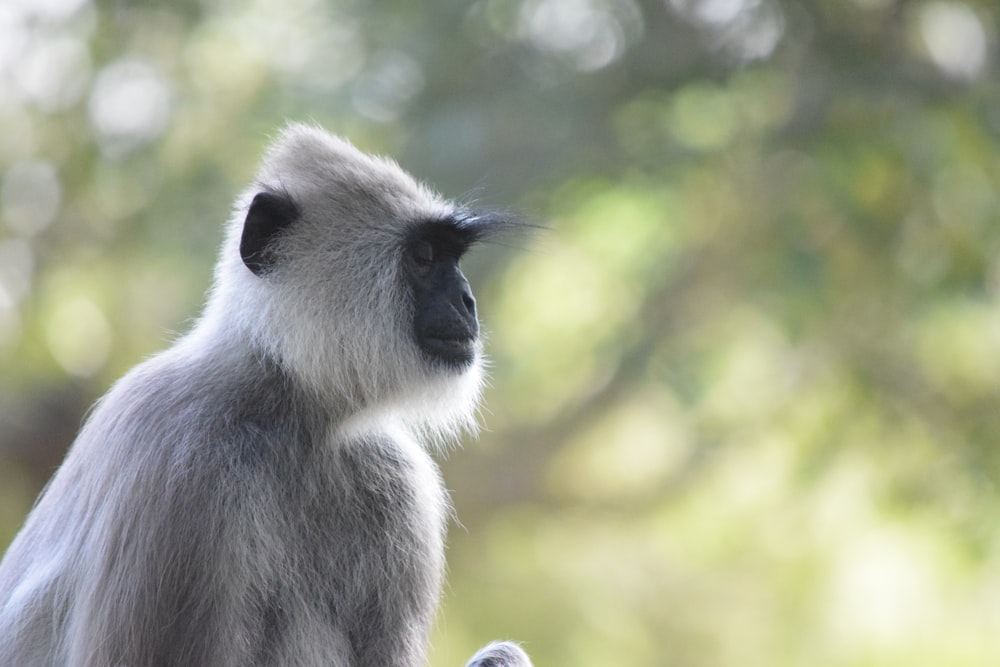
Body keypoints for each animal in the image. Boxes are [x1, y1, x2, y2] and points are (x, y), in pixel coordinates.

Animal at [0, 125, 536, 667]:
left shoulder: (398, 479)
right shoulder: (176, 464)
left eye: (452, 258)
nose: (467, 301)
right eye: (424, 257)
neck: (285, 409)